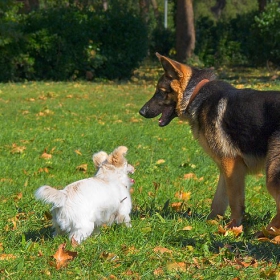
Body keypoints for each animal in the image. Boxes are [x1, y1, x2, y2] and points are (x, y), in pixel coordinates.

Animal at [140, 52, 280, 230]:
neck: (195, 94)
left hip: (272, 174)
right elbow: (218, 201)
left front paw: (232, 228)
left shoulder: (231, 164)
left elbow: (235, 201)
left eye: (160, 91)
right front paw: (211, 223)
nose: (141, 111)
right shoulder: (226, 168)